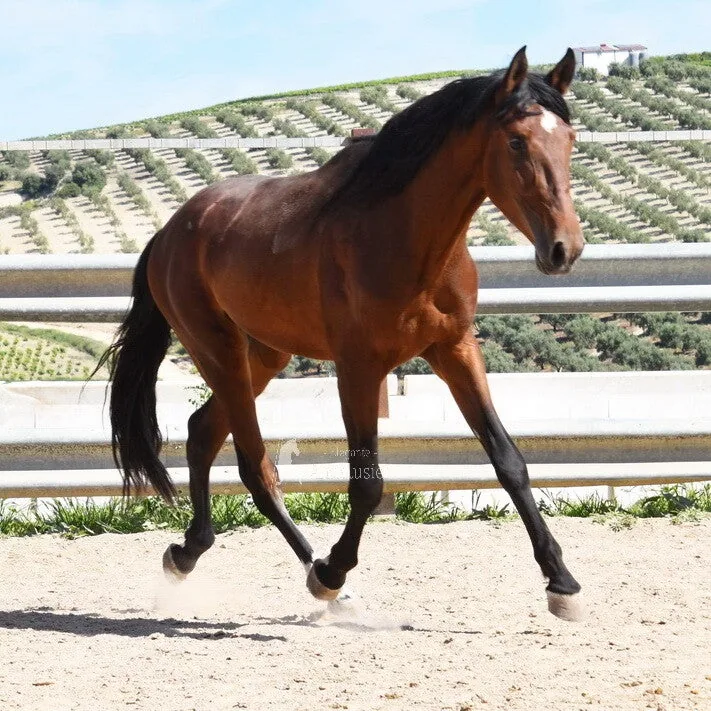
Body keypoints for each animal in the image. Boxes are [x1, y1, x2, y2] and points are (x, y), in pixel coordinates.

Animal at [98, 46, 585, 621]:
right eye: (515, 141)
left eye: (569, 139)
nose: (565, 249)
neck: (407, 238)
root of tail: (169, 233)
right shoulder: (358, 367)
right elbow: (367, 485)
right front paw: (333, 571)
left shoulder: (455, 350)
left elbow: (509, 461)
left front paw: (562, 583)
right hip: (218, 351)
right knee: (254, 467)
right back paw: (314, 574)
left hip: (263, 356)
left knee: (202, 432)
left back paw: (189, 552)